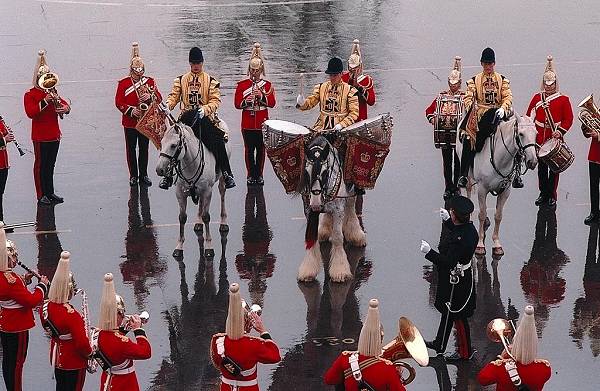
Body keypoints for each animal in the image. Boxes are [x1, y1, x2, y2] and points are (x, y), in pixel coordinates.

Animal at [155, 115, 230, 258]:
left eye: (173, 145)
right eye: (161, 143)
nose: (159, 170)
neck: (191, 163)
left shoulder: (207, 191)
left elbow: (207, 217)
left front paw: (209, 246)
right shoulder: (180, 193)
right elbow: (182, 217)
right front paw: (179, 246)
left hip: (221, 180)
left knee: (222, 193)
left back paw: (223, 222)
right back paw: (198, 222)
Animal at [296, 136, 366, 284]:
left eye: (325, 172)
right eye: (306, 172)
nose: (316, 204)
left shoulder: (338, 209)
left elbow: (338, 237)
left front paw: (340, 271)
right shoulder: (308, 210)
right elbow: (311, 236)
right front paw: (308, 271)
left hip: (351, 192)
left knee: (350, 207)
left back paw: (356, 236)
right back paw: (324, 230)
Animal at [458, 112, 536, 258]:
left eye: (536, 133)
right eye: (521, 134)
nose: (532, 161)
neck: (500, 159)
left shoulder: (505, 191)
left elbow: (498, 216)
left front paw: (496, 243)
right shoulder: (482, 189)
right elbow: (482, 214)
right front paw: (480, 244)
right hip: (468, 174)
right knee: (469, 188)